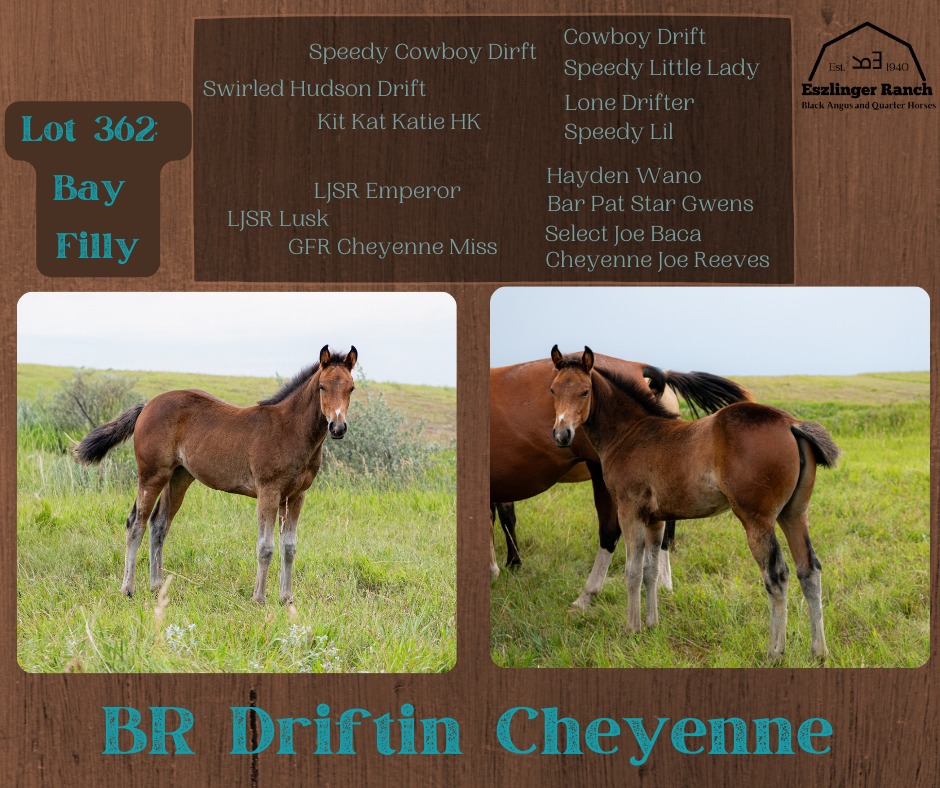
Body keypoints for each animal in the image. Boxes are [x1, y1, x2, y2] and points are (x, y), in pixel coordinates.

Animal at [72, 345, 358, 606]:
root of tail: (147, 406)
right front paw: (259, 599)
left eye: (351, 388)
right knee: (136, 523)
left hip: (178, 478)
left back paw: (157, 587)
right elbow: (265, 547)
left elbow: (289, 547)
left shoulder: (296, 496)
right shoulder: (268, 491)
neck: (290, 429)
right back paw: (128, 589)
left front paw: (286, 599)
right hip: (152, 475)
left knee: (159, 524)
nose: (337, 427)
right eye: (322, 387)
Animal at [490, 354, 750, 610]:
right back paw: (662, 584)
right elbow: (505, 516)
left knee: (612, 531)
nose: (560, 434)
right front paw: (510, 563)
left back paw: (594, 593)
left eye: (585, 392)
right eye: (552, 391)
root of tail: (642, 367)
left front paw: (497, 567)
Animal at [549, 346, 839, 660]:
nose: (561, 434)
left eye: (585, 391)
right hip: (794, 514)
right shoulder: (655, 519)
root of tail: (791, 424)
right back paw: (819, 651)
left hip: (757, 520)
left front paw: (631, 628)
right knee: (809, 570)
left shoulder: (630, 511)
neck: (630, 433)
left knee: (777, 575)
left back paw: (775, 652)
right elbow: (651, 571)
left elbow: (632, 571)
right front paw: (651, 624)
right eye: (553, 390)